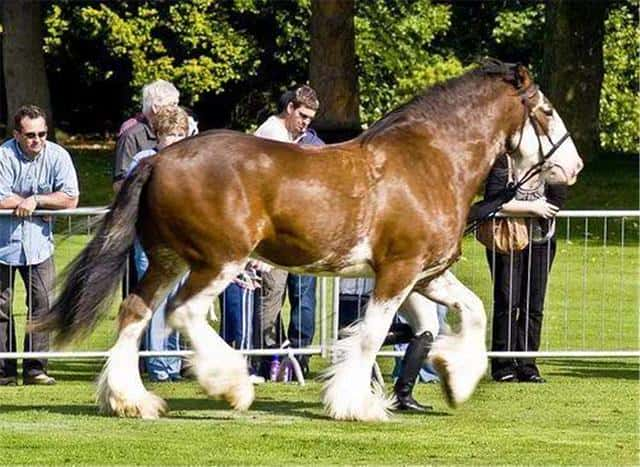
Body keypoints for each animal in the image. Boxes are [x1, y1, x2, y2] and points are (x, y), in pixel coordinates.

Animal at [37, 60, 584, 422]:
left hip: (168, 259)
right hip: (220, 261)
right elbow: (369, 335)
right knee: (182, 313)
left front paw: (456, 377)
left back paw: (130, 400)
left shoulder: (428, 274)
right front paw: (355, 404)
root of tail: (158, 159)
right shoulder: (398, 272)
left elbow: (470, 311)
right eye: (547, 111)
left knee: (135, 311)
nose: (573, 166)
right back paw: (232, 387)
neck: (431, 160)